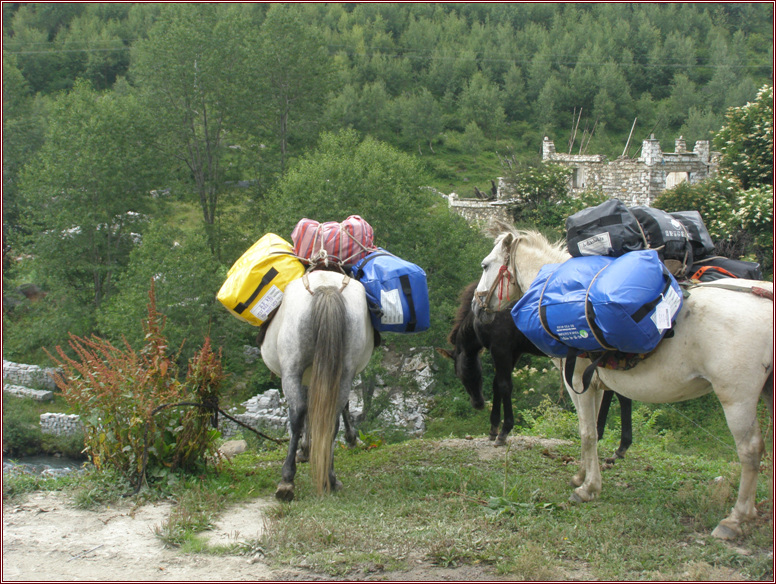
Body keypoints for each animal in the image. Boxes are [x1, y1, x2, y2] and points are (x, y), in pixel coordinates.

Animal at [260, 272, 374, 500]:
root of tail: (326, 288)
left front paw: (305, 449)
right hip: (343, 370)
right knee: (330, 417)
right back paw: (328, 477)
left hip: (292, 369)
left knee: (297, 414)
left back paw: (288, 481)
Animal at [470, 221, 772, 540]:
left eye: (486, 265)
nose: (476, 308)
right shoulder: (595, 385)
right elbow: (592, 430)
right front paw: (582, 475)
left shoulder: (577, 382)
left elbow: (587, 432)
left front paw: (588, 489)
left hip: (736, 398)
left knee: (751, 450)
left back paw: (736, 519)